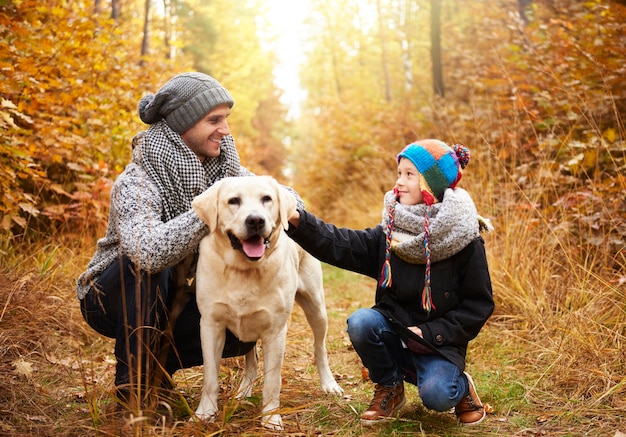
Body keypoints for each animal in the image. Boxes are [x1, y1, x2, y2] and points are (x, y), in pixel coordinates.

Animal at [190, 175, 342, 430]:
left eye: (267, 199)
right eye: (233, 201)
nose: (255, 220)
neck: (244, 270)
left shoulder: (275, 332)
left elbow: (273, 380)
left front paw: (271, 417)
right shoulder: (211, 325)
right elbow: (210, 376)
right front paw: (205, 413)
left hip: (316, 308)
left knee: (319, 347)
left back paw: (329, 384)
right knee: (252, 361)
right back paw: (243, 391)